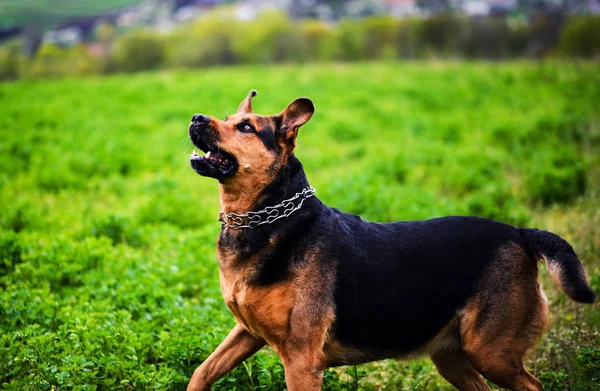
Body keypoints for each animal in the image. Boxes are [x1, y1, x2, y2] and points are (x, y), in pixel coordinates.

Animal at [186, 91, 596, 391]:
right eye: (227, 118)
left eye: (246, 127)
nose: (196, 118)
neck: (267, 217)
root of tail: (520, 234)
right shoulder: (245, 332)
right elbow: (201, 372)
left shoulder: (302, 360)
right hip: (454, 356)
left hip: (492, 350)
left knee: (532, 385)